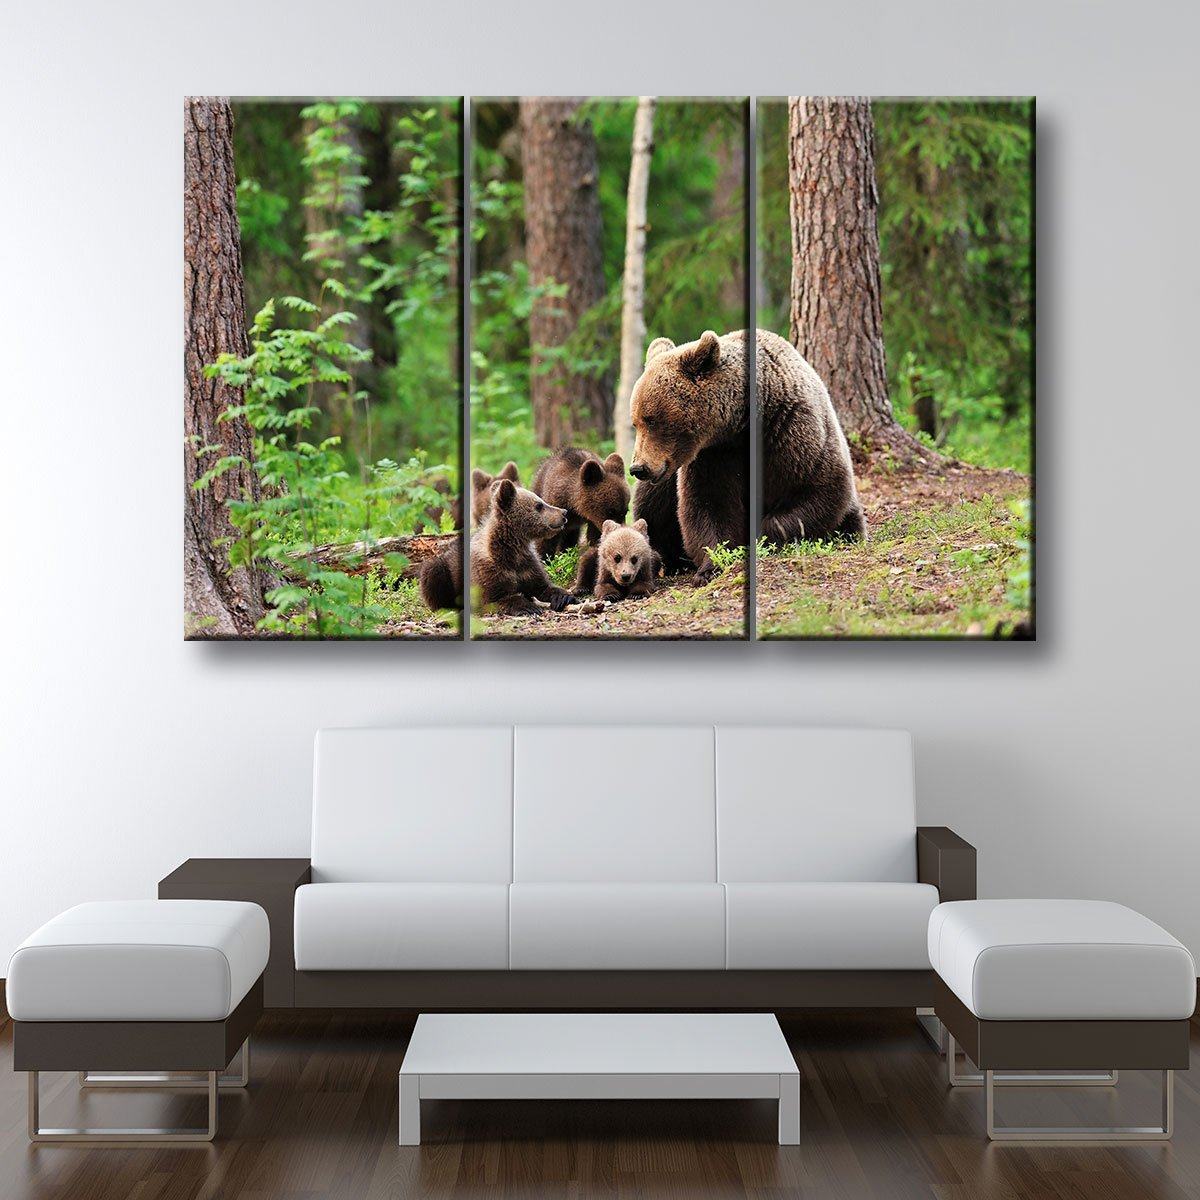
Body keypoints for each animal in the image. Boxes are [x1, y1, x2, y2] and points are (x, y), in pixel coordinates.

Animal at [471, 477, 575, 616]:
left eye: (541, 501)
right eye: (539, 505)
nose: (564, 512)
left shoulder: (528, 566)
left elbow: (543, 587)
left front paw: (563, 597)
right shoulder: (488, 571)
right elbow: (497, 599)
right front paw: (529, 607)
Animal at [628, 329, 864, 584]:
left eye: (651, 419)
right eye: (636, 422)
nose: (638, 468)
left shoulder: (791, 431)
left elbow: (816, 490)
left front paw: (761, 538)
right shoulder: (714, 455)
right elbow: (708, 505)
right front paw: (710, 567)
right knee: (651, 505)